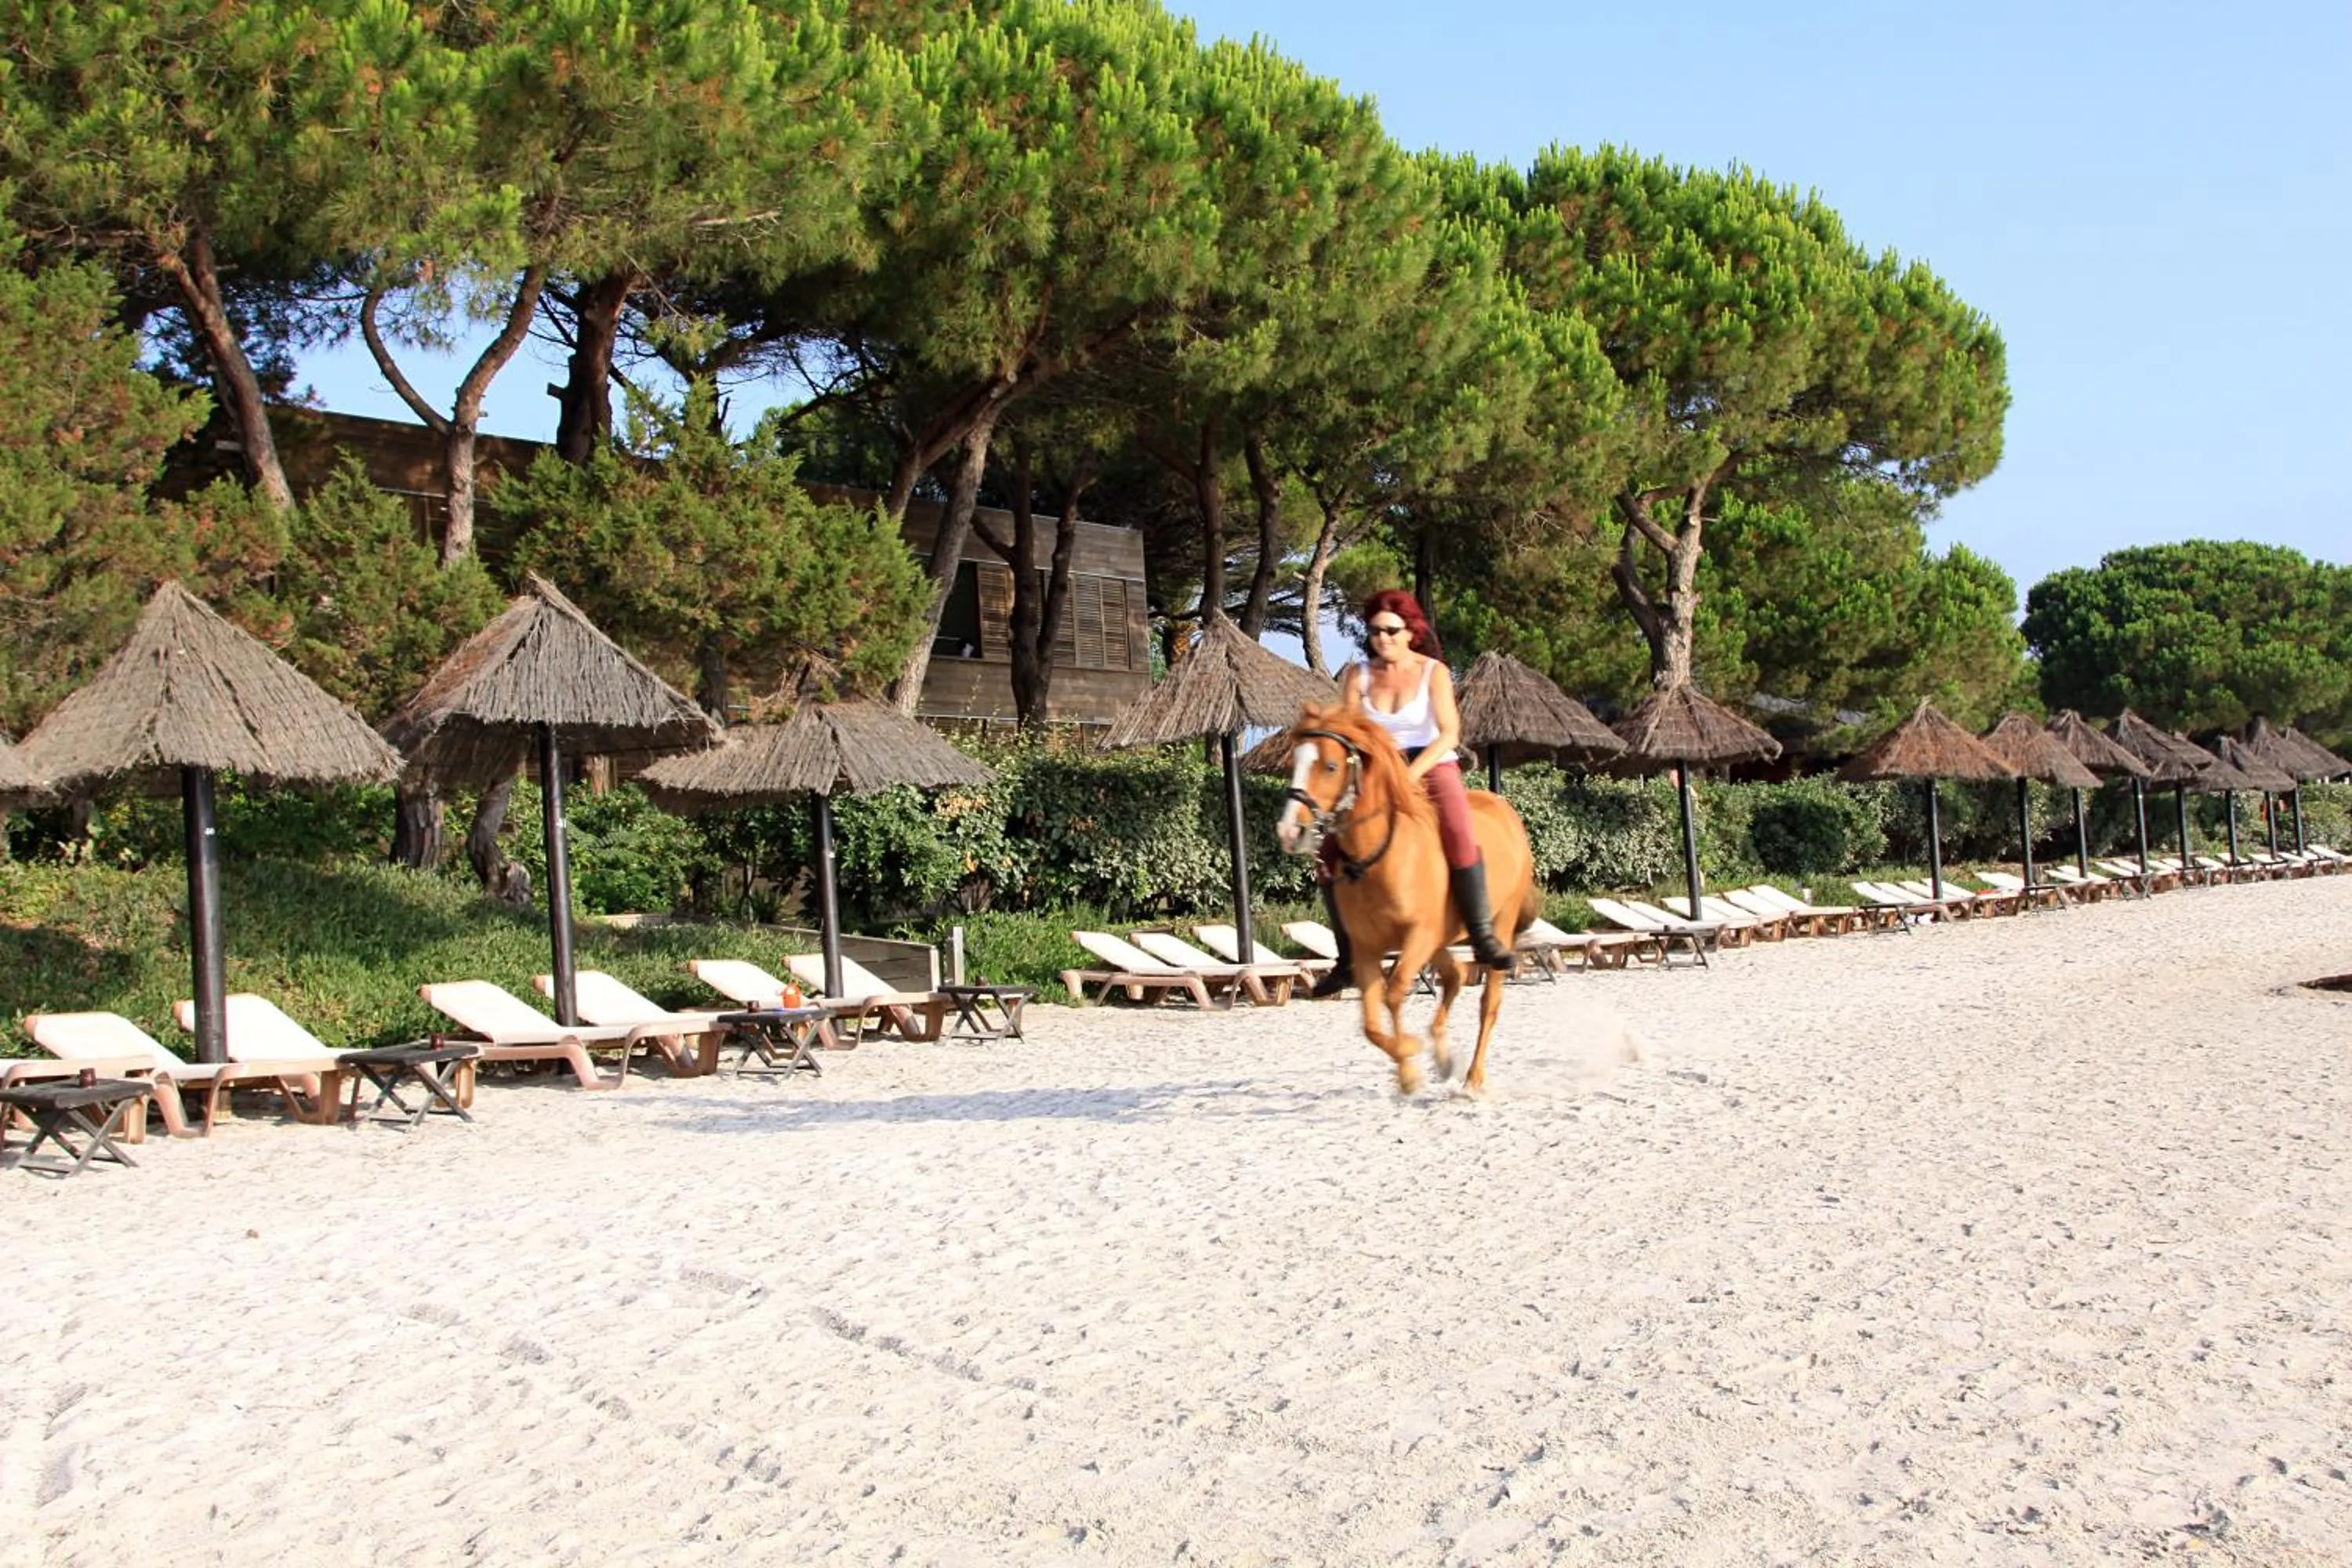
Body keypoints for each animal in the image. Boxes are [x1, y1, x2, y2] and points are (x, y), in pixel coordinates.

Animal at [1273, 700, 1538, 1096]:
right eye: (1294, 763)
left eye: (1331, 766)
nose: (1290, 832)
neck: (1378, 858)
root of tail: (1504, 809)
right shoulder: (1367, 949)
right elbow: (1371, 1024)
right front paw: (1409, 1068)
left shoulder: (1417, 937)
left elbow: (1394, 993)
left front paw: (1410, 1058)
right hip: (1440, 940)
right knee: (1456, 975)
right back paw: (1444, 1058)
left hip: (1498, 928)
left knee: (1488, 1002)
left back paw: (1473, 1078)